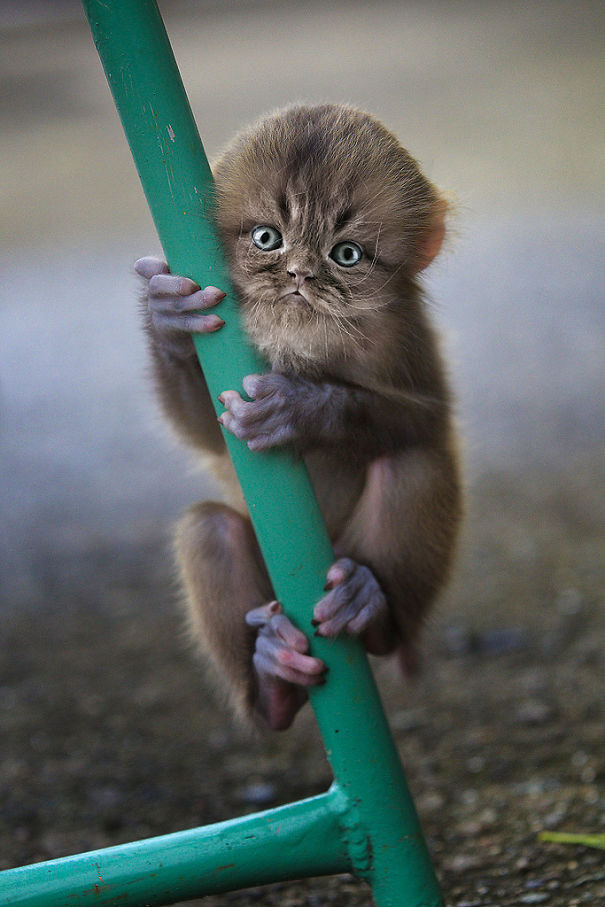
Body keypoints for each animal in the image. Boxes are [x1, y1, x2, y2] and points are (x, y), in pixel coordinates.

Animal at [135, 103, 462, 731]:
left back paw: (371, 610)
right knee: (208, 530)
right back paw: (271, 685)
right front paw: (168, 318)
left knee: (413, 468)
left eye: (346, 254)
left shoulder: (400, 332)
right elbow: (206, 437)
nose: (300, 276)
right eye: (268, 239)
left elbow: (424, 421)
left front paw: (301, 407)